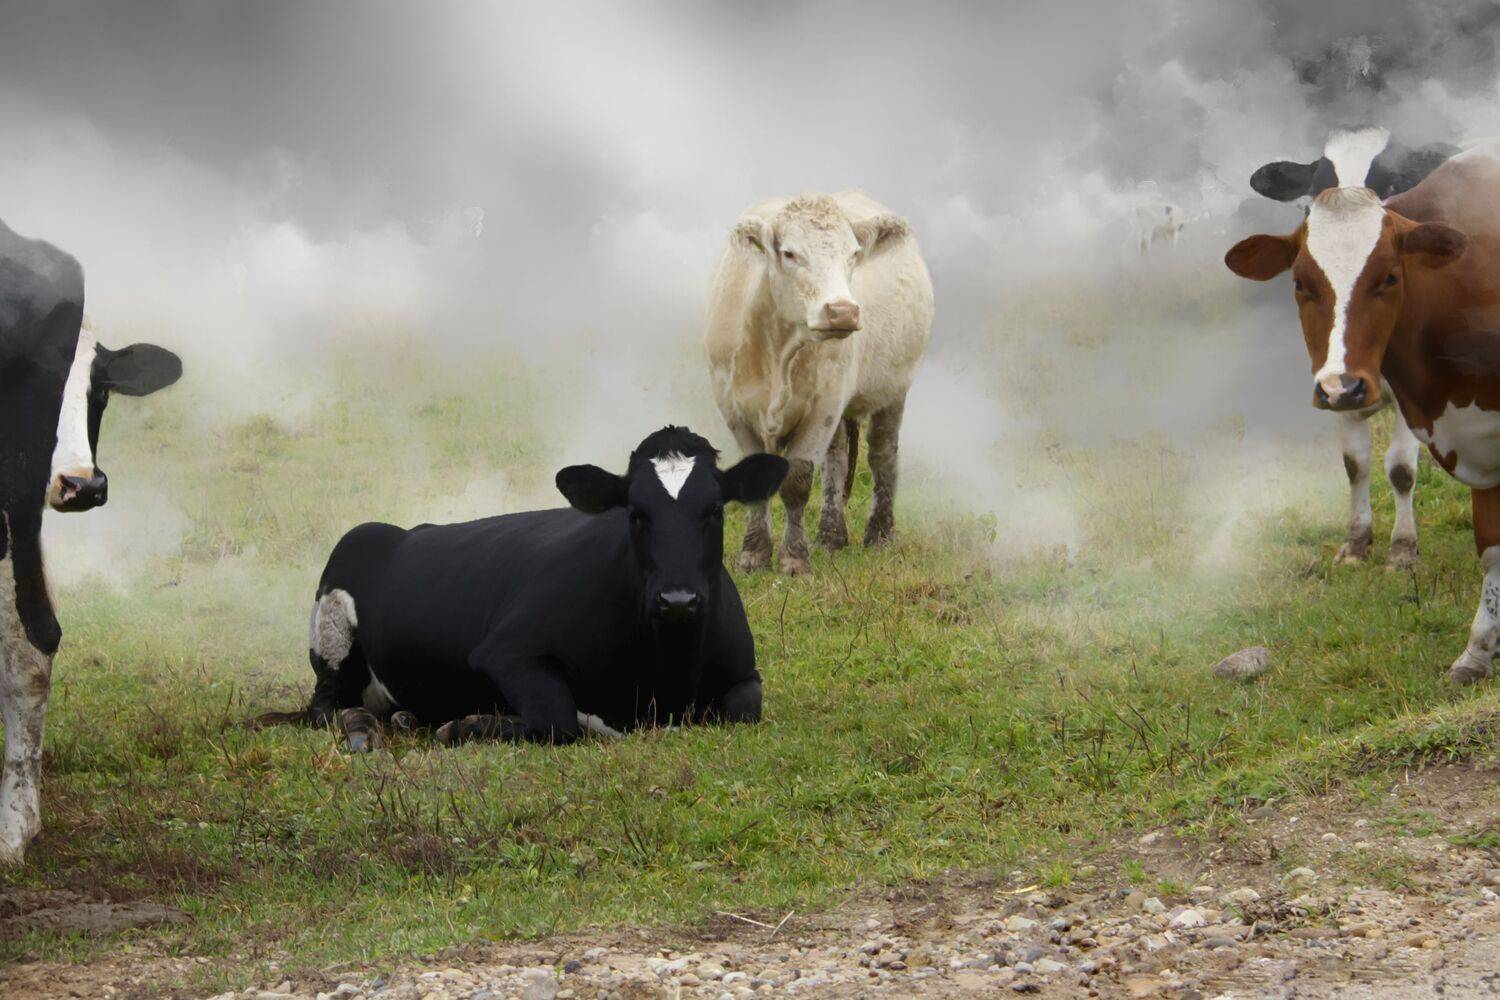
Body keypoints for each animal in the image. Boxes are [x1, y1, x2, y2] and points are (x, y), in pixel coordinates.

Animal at [264, 427, 787, 750]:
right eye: (636, 513)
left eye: (715, 510)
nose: (678, 600)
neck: (667, 681)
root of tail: (401, 531)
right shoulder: (506, 652)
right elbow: (557, 719)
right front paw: (468, 725)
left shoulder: (744, 671)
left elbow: (745, 707)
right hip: (336, 626)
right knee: (328, 707)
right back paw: (365, 727)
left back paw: (406, 717)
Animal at [704, 190, 933, 576]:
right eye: (789, 253)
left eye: (853, 254)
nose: (842, 311)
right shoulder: (731, 404)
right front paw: (753, 555)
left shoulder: (824, 405)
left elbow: (797, 480)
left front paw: (795, 559)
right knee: (836, 460)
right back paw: (830, 537)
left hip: (893, 387)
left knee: (882, 454)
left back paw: (879, 534)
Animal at [1247, 127, 1458, 569]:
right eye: (1311, 200)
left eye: (1393, 188)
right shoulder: (1334, 383)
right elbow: (1354, 463)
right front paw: (1357, 543)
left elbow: (1400, 468)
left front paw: (1403, 549)